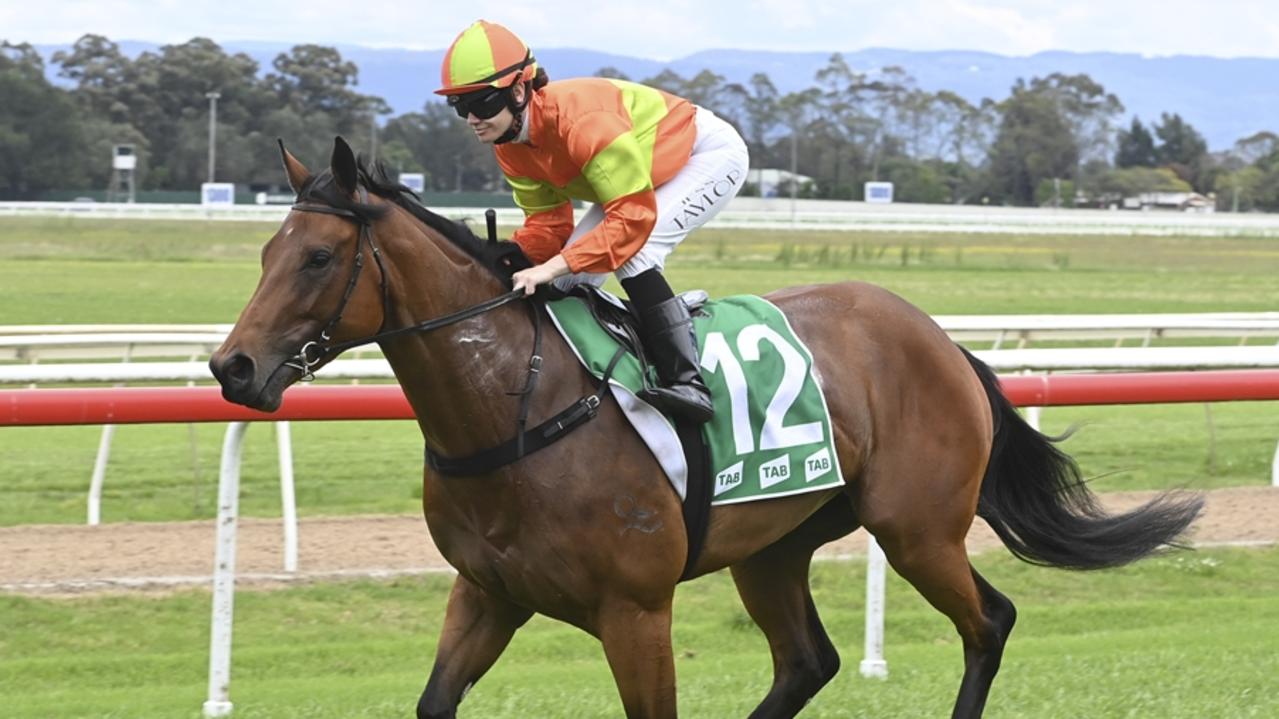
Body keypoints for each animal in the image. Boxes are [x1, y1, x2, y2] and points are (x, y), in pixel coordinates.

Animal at [207, 135, 1197, 716]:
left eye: (319, 256)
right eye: (262, 252)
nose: (232, 367)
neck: (516, 410)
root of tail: (941, 340)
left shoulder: (635, 611)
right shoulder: (486, 593)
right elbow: (433, 702)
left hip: (915, 528)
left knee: (988, 621)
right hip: (774, 545)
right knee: (806, 661)